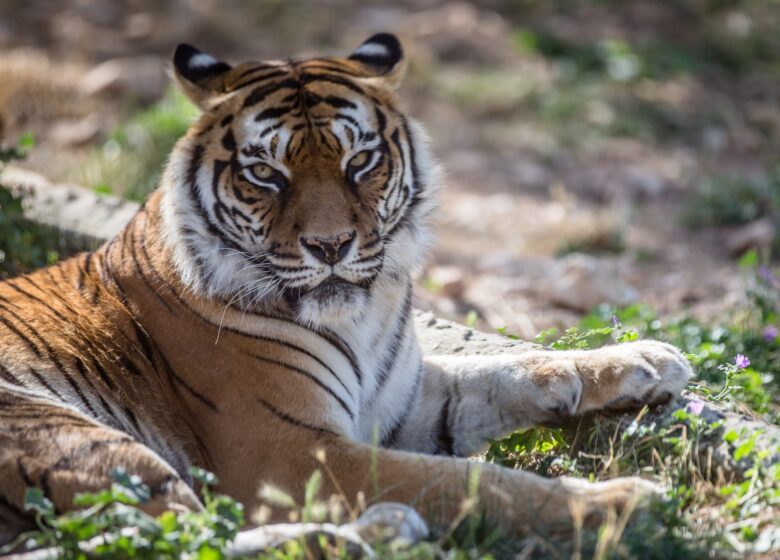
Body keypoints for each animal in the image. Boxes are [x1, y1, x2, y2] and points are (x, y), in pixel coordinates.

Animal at [0, 32, 696, 544]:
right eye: (265, 173)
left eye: (359, 162)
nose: (331, 246)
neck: (359, 318)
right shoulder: (289, 452)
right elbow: (463, 483)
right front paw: (623, 503)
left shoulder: (402, 399)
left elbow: (506, 371)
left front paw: (643, 361)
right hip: (75, 437)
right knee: (175, 538)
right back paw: (381, 530)